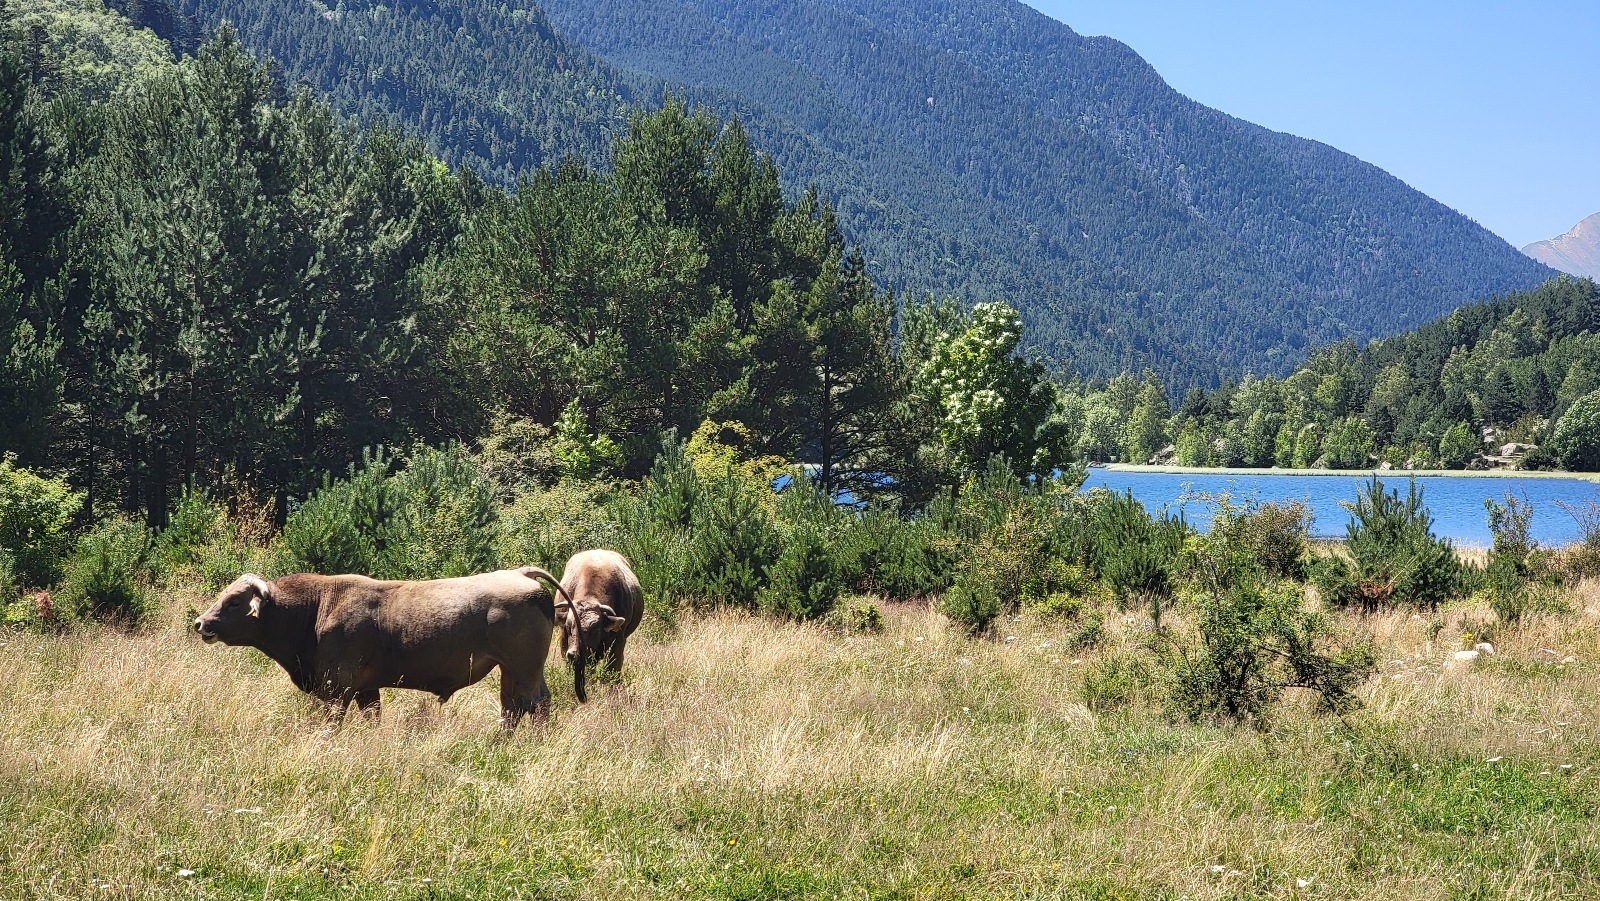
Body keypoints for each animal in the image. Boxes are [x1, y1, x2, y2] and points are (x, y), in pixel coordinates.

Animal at [193, 567, 572, 728]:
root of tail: (521, 575)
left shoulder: (338, 689)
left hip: (524, 671)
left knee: (535, 706)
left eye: (234, 602)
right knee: (513, 708)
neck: (318, 606)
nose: (201, 623)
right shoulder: (366, 690)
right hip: (513, 672)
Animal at [556, 549, 644, 703]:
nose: (573, 653)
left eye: (594, 628)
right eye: (569, 625)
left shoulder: (618, 641)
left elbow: (612, 668)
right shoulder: (564, 640)